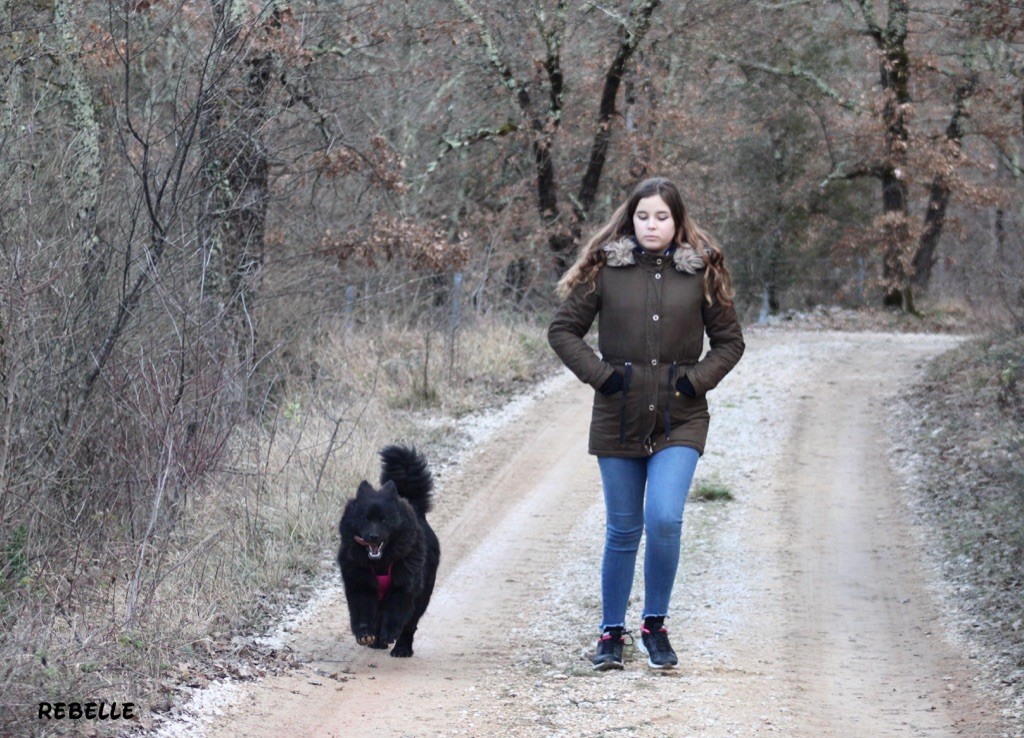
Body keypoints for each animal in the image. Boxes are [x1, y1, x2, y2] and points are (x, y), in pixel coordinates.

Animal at [337, 444, 438, 655]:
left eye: (384, 520)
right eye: (365, 519)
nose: (373, 536)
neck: (381, 565)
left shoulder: (404, 587)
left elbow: (396, 613)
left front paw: (389, 634)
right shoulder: (361, 584)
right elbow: (362, 612)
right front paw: (365, 635)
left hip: (423, 597)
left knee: (410, 625)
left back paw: (402, 649)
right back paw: (377, 642)